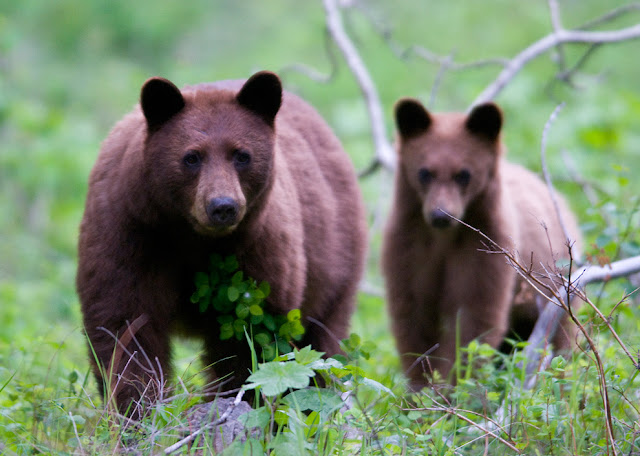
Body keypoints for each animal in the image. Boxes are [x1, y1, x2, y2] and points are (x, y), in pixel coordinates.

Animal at [75, 70, 368, 414]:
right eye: (191, 157)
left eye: (242, 155)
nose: (223, 206)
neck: (191, 235)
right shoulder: (130, 231)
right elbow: (124, 323)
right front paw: (138, 409)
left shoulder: (258, 249)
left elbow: (250, 339)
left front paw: (232, 402)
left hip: (336, 260)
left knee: (322, 346)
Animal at [382, 99, 584, 388]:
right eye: (424, 173)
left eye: (464, 174)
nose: (441, 215)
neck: (444, 239)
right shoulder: (409, 247)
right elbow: (413, 318)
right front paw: (422, 389)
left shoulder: (485, 248)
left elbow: (475, 320)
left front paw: (455, 389)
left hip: (555, 288)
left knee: (560, 343)